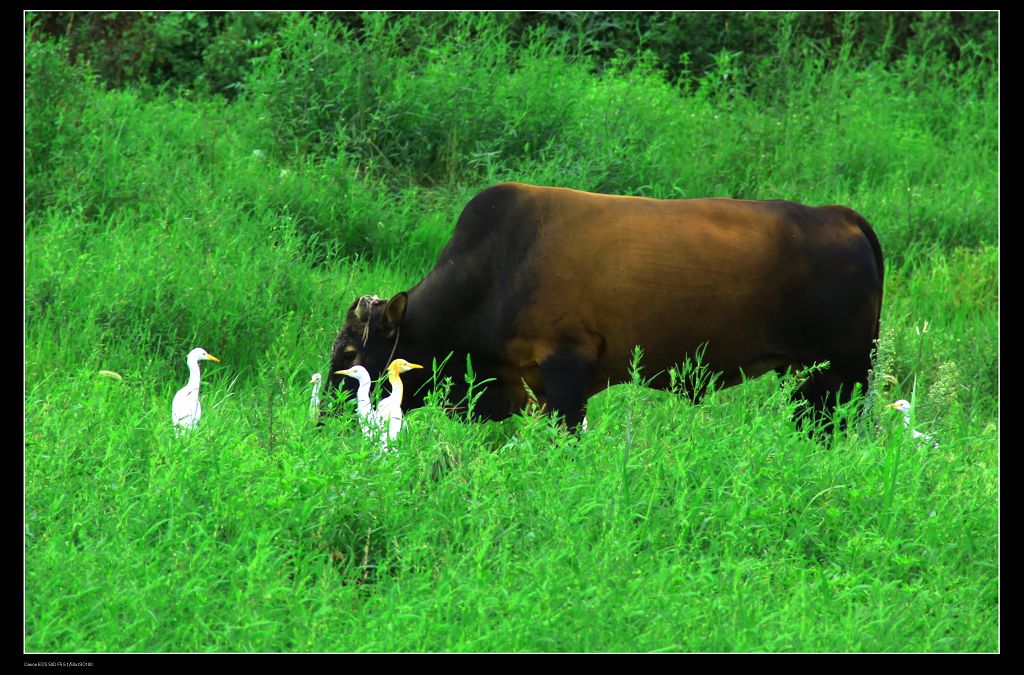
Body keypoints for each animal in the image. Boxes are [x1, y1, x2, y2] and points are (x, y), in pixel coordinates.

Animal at [323, 182, 884, 430]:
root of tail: (840, 216)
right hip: (808, 379)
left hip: (844, 374)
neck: (497, 269)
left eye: (350, 352)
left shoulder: (567, 370)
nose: (323, 415)